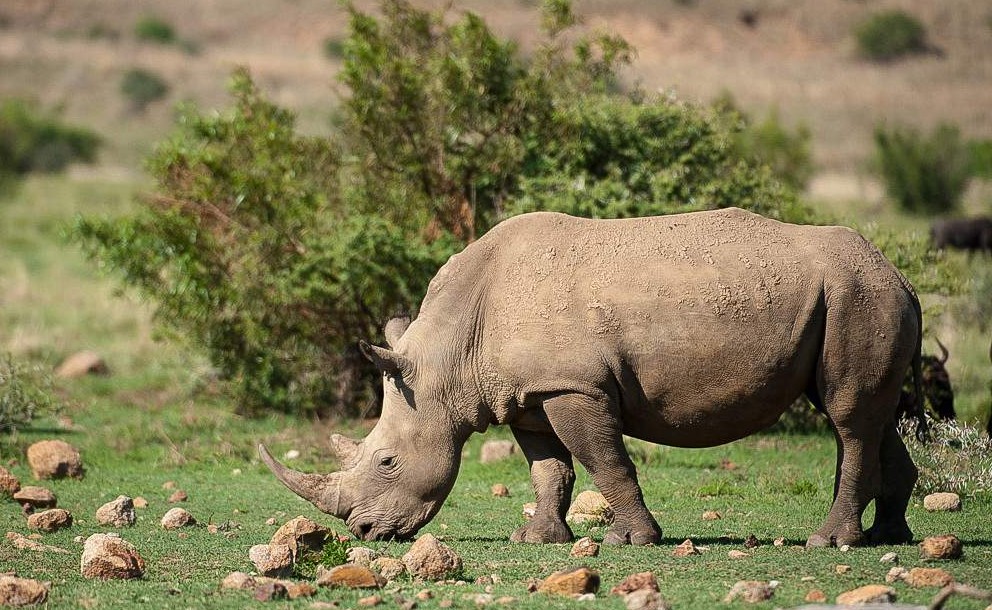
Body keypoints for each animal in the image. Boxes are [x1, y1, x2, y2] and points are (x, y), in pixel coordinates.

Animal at [259, 208, 924, 548]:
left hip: (857, 295)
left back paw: (831, 543)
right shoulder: (528, 393)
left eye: (387, 462)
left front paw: (638, 540)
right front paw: (541, 539)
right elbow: (548, 470)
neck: (450, 358)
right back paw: (889, 536)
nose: (365, 531)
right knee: (872, 414)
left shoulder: (573, 386)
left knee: (847, 417)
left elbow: (606, 461)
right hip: (860, 295)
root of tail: (903, 276)